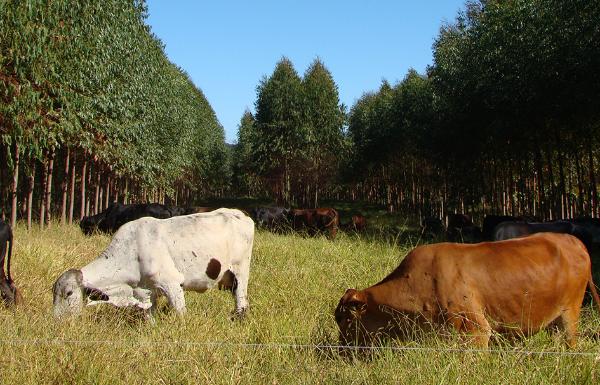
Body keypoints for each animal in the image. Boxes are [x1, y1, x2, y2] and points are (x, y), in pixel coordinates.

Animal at [52, 208, 255, 316]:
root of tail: (239, 213)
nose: (56, 322)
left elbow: (181, 314)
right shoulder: (146, 292)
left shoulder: (172, 284)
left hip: (241, 270)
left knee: (241, 299)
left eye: (69, 293)